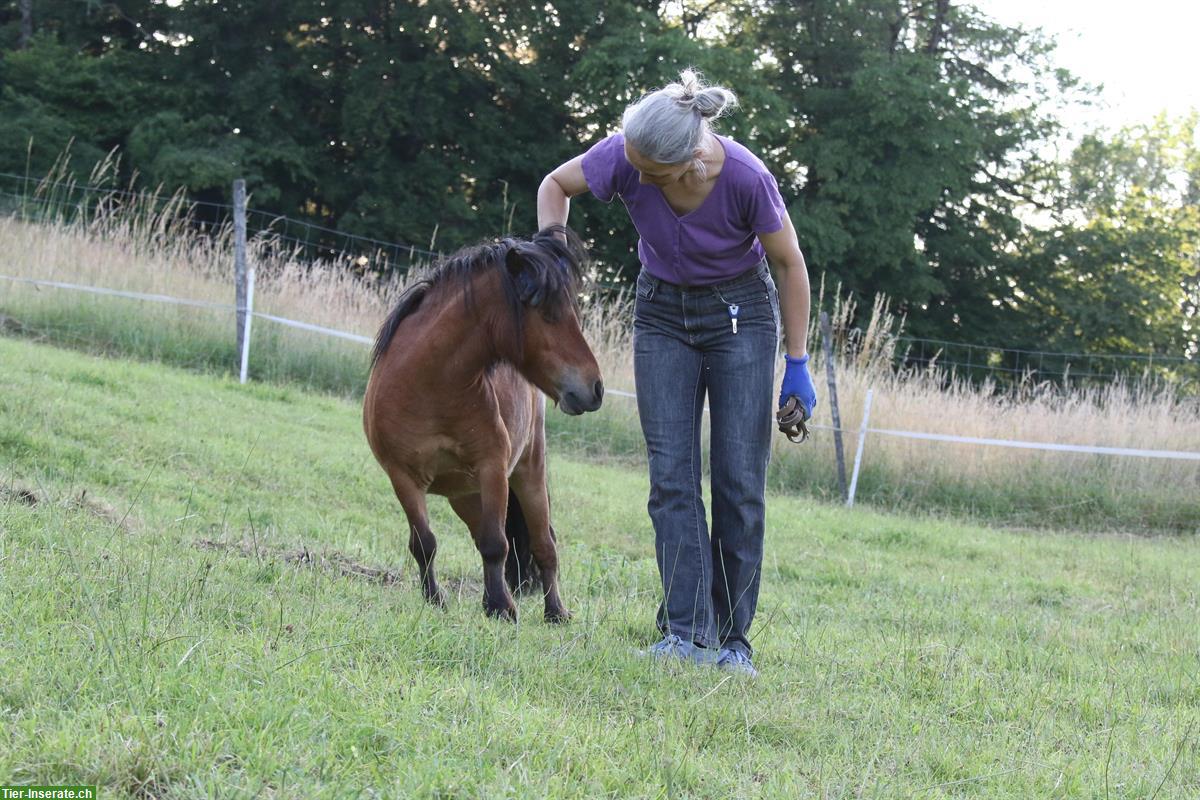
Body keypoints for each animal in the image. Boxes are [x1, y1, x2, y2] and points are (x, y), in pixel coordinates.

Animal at [355, 227, 600, 623]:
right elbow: (425, 543)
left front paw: (501, 606)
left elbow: (496, 544)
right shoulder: (403, 477)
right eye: (549, 314)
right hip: (465, 496)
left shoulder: (492, 469)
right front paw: (436, 598)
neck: (428, 384)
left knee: (543, 544)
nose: (595, 388)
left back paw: (555, 612)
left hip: (528, 473)